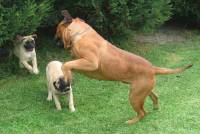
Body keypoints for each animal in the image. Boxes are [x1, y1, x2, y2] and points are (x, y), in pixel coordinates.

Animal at [54, 10, 192, 124]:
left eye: (57, 29)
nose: (54, 38)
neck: (81, 33)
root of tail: (152, 68)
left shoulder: (91, 62)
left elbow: (66, 64)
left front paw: (65, 79)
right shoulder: (79, 62)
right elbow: (69, 65)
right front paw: (68, 78)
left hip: (134, 96)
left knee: (142, 113)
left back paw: (131, 121)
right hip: (143, 90)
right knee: (154, 96)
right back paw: (155, 107)